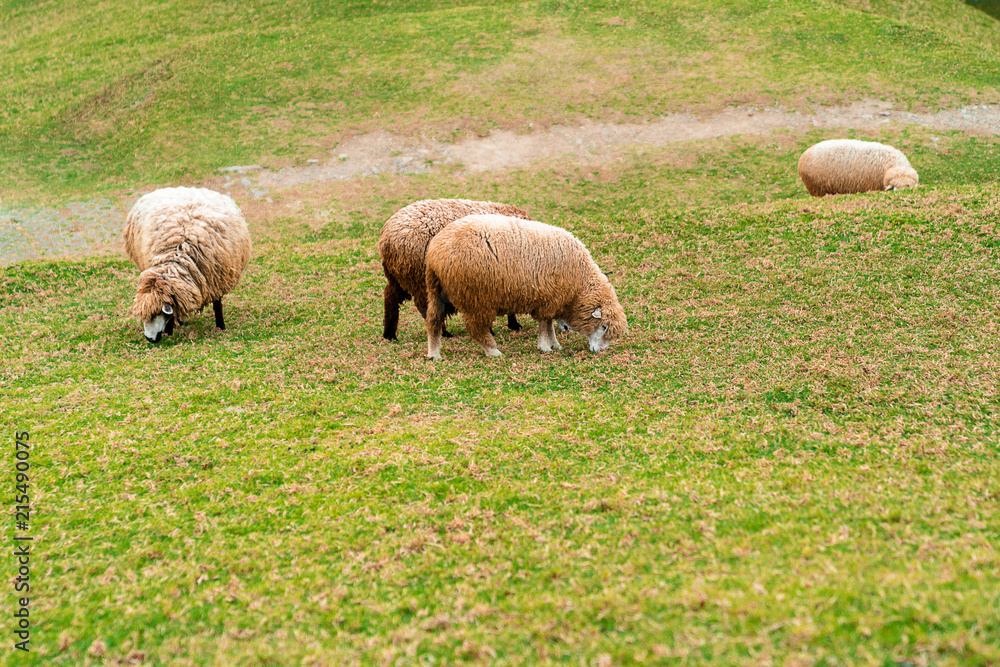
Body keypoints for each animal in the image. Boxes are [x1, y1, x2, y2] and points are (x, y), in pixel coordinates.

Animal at [123, 187, 251, 343]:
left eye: (155, 314)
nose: (150, 339)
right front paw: (170, 330)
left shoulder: (216, 279)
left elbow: (217, 304)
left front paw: (220, 326)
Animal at [377, 199, 534, 341]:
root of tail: (387, 237)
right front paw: (511, 325)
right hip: (419, 278)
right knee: (427, 308)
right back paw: (443, 332)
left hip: (399, 278)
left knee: (390, 298)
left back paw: (389, 334)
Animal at [424, 215, 627, 359]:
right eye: (604, 327)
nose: (600, 351)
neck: (579, 285)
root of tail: (437, 252)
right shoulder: (549, 299)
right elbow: (545, 324)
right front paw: (545, 347)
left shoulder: (551, 298)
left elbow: (549, 324)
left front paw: (554, 344)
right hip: (477, 298)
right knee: (476, 328)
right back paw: (493, 351)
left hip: (435, 291)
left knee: (433, 321)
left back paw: (434, 354)